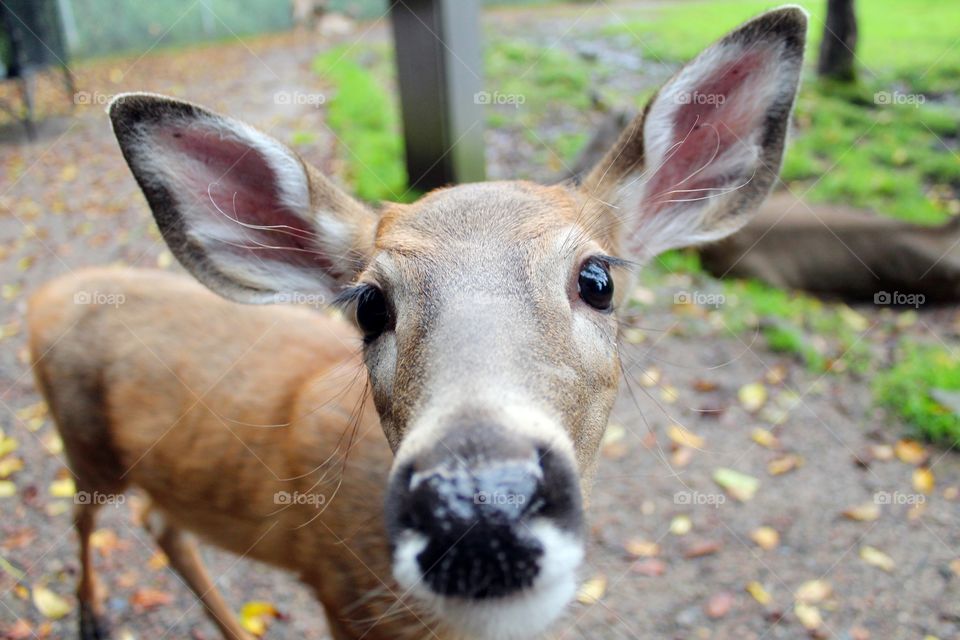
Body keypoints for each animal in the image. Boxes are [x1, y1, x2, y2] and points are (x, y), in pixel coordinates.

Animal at [28, 7, 806, 640]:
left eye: (598, 280)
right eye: (370, 304)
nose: (479, 507)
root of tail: (47, 295)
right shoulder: (340, 596)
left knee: (160, 523)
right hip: (83, 445)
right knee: (85, 517)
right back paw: (92, 616)